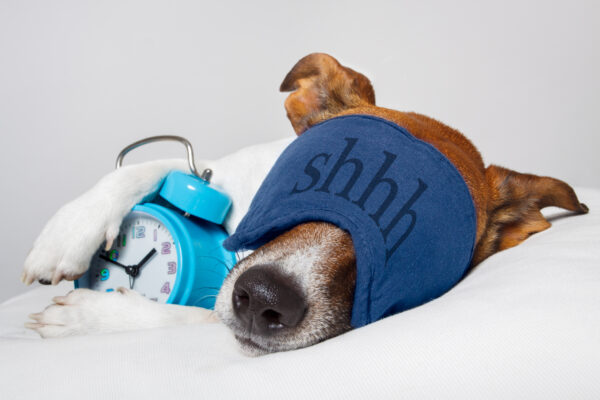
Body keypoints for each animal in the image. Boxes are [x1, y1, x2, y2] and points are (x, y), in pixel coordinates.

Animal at [22, 54, 584, 356]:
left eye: (413, 246)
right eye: (302, 178)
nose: (265, 295)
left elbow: (195, 319)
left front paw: (94, 318)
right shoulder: (225, 171)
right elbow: (157, 163)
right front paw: (66, 235)